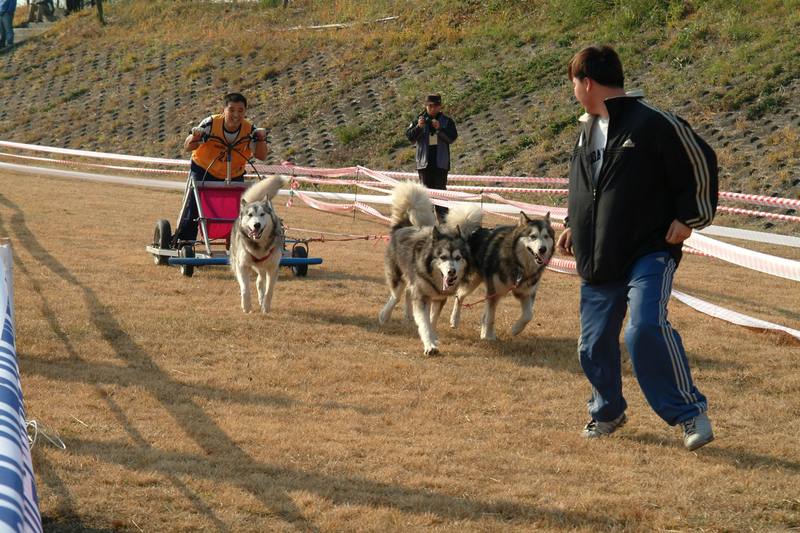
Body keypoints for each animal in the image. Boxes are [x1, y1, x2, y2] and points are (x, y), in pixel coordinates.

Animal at [376, 181, 482, 356]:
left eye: (458, 258)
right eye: (443, 257)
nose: (452, 273)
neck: (433, 278)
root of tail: (402, 227)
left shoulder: (439, 298)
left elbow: (432, 321)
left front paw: (433, 337)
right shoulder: (422, 297)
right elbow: (424, 323)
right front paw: (429, 345)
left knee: (407, 292)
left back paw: (408, 315)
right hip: (398, 276)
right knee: (396, 296)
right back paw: (384, 315)